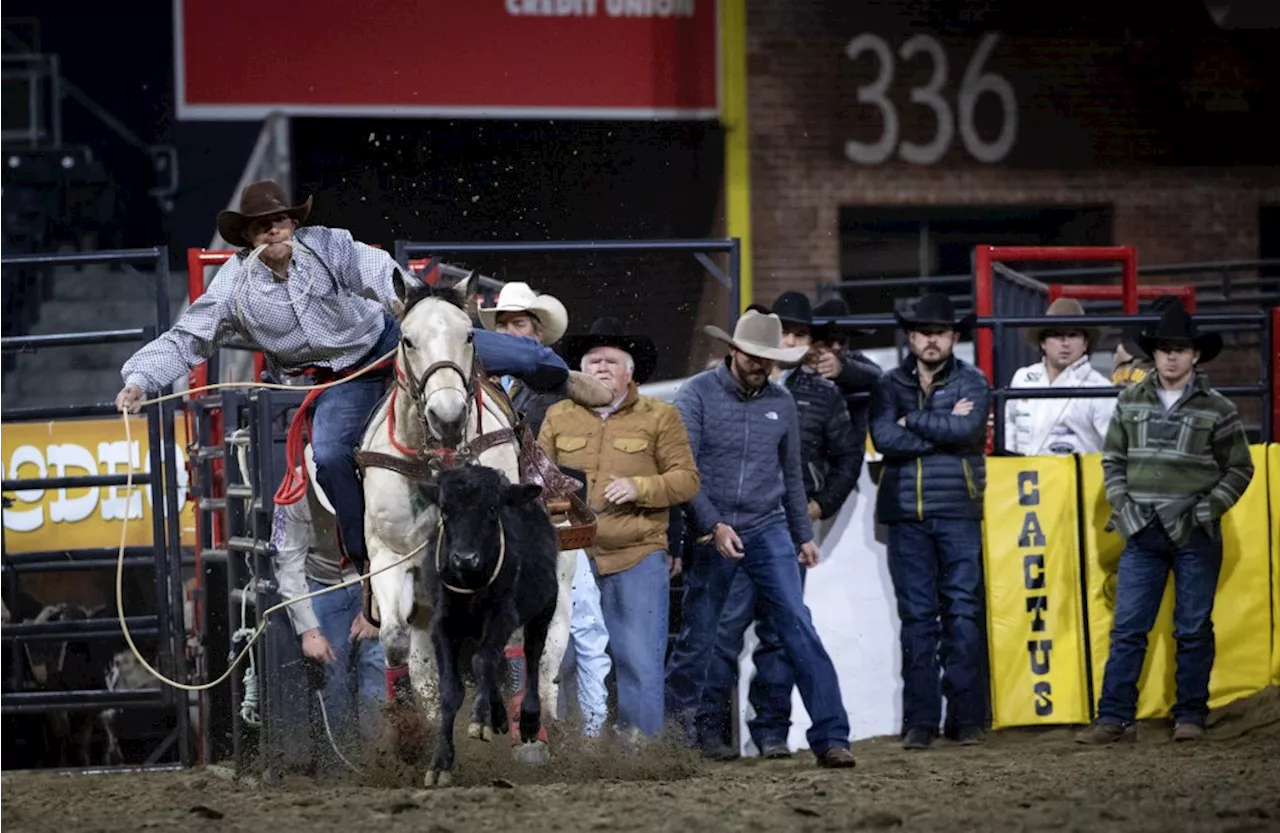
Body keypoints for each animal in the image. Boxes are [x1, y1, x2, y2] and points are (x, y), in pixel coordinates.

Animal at [419, 468, 560, 788]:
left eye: (493, 509)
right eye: (445, 509)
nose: (464, 558)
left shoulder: (503, 615)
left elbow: (484, 661)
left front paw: (479, 720)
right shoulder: (443, 625)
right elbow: (451, 689)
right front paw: (440, 762)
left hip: (544, 609)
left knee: (531, 656)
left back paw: (528, 720)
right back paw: (498, 715)